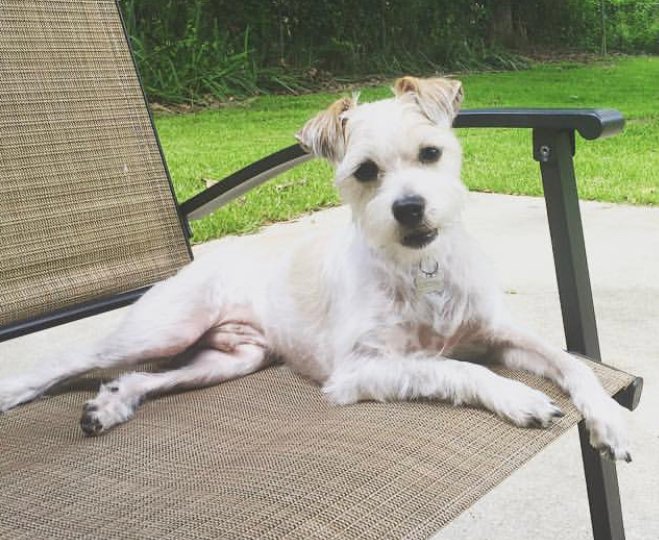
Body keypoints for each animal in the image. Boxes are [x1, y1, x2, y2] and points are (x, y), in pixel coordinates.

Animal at [0, 77, 636, 460]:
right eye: (365, 172)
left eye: (430, 153)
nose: (409, 209)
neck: (418, 269)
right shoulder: (359, 371)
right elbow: (455, 368)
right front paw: (518, 398)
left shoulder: (501, 332)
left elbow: (571, 365)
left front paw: (608, 418)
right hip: (166, 326)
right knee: (69, 360)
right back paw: (21, 392)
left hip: (230, 358)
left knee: (145, 377)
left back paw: (109, 404)